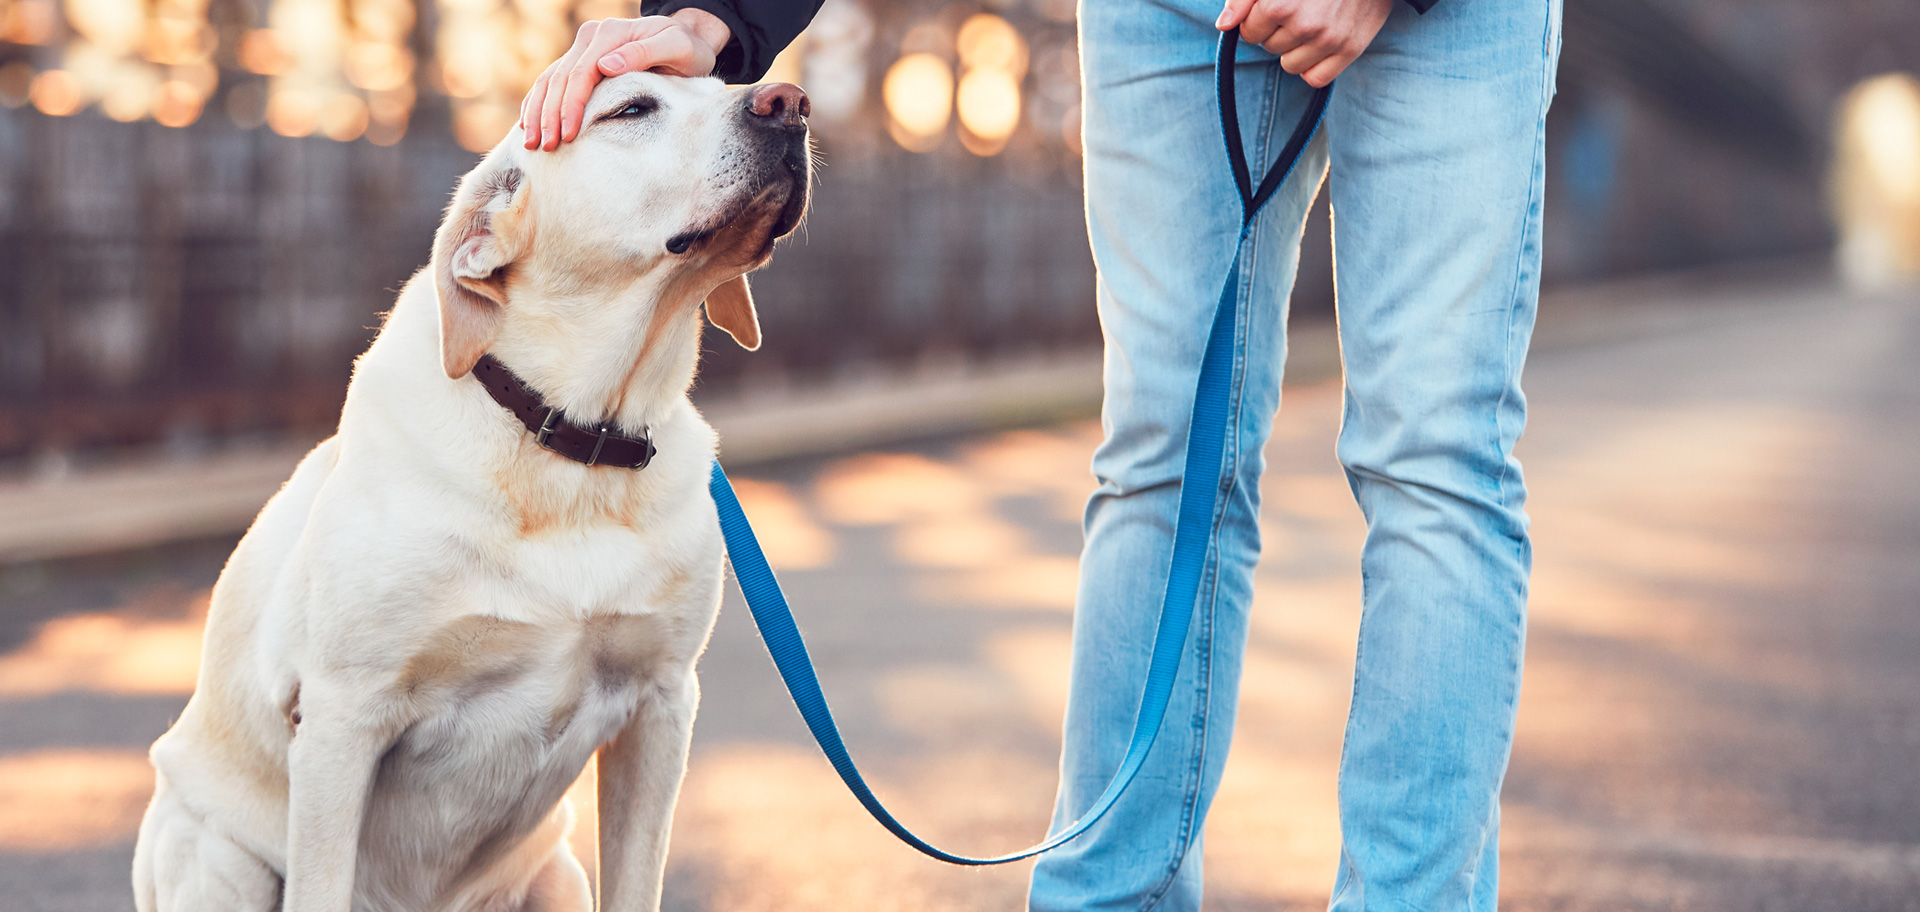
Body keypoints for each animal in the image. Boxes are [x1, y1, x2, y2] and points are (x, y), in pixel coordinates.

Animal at [133, 72, 810, 912]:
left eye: (724, 81)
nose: (791, 103)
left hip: (555, 871)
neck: (572, 442)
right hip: (219, 855)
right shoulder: (340, 718)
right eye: (630, 108)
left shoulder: (661, 705)